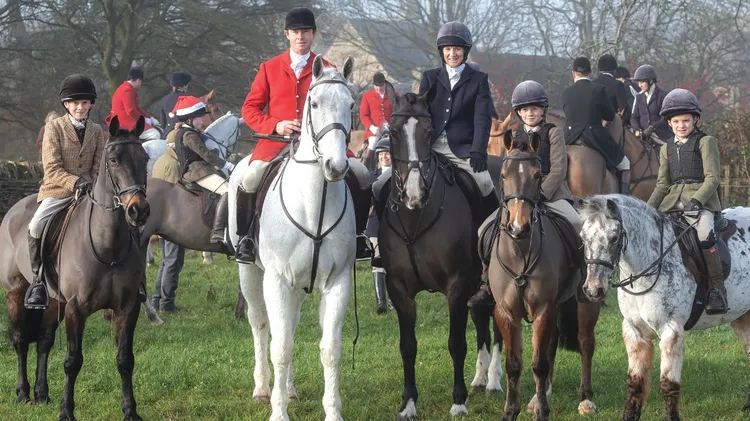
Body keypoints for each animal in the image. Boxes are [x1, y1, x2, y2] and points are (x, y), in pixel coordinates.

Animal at [0, 116, 150, 421]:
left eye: (146, 158)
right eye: (114, 159)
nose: (138, 210)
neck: (108, 245)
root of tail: (14, 209)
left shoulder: (128, 307)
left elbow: (125, 359)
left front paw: (130, 411)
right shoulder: (75, 309)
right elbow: (72, 360)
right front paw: (66, 411)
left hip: (52, 300)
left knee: (44, 341)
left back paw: (42, 393)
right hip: (16, 292)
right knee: (20, 340)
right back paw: (23, 393)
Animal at [227, 56, 356, 421]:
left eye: (351, 105)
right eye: (314, 103)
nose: (336, 166)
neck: (314, 204)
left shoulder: (338, 281)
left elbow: (330, 349)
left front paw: (333, 412)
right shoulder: (276, 279)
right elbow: (280, 347)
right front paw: (278, 412)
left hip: (299, 284)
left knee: (291, 325)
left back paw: (289, 389)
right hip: (250, 273)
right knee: (260, 324)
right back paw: (263, 388)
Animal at [377, 85, 502, 420]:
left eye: (429, 131)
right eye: (393, 132)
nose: (413, 194)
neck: (415, 218)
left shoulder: (456, 286)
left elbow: (456, 343)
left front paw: (458, 402)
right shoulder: (399, 289)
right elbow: (407, 346)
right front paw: (408, 403)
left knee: (498, 329)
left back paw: (494, 380)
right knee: (482, 321)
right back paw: (481, 379)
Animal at [488, 131, 601, 421]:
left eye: (538, 175)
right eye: (503, 174)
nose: (518, 227)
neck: (519, 251)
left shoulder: (542, 309)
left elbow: (538, 363)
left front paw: (541, 412)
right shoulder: (506, 313)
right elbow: (514, 364)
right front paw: (512, 410)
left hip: (585, 301)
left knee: (585, 342)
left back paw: (586, 399)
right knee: (551, 344)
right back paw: (542, 396)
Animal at [579, 195, 750, 421]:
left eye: (614, 238)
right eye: (583, 238)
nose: (593, 289)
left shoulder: (671, 330)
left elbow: (668, 384)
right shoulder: (635, 332)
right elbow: (635, 383)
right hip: (742, 318)